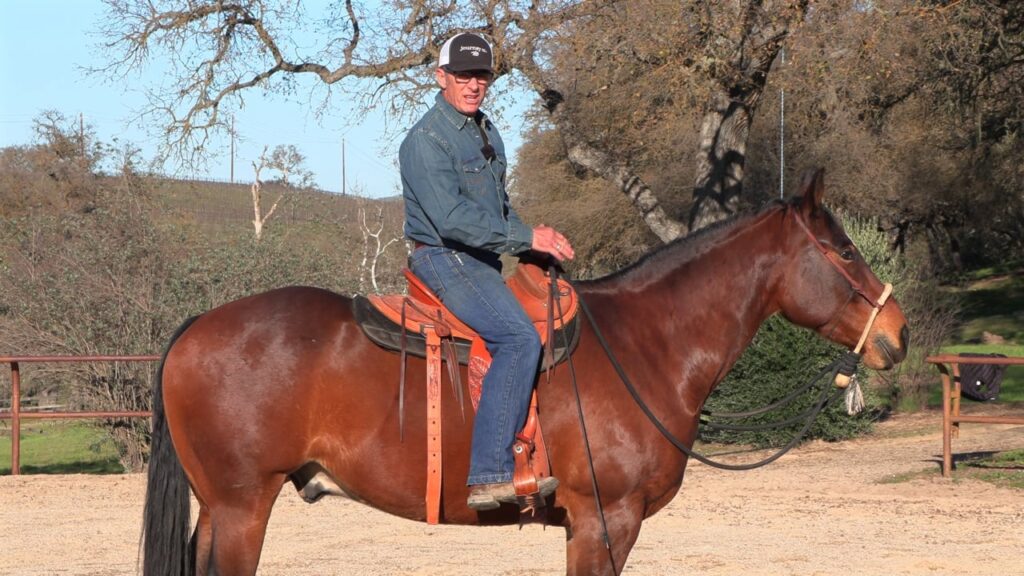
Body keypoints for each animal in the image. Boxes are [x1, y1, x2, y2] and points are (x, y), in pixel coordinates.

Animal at [142, 170, 909, 575]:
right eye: (843, 250)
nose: (897, 334)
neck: (646, 344)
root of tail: (198, 326)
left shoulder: (586, 526)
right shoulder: (607, 520)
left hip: (222, 512)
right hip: (242, 510)